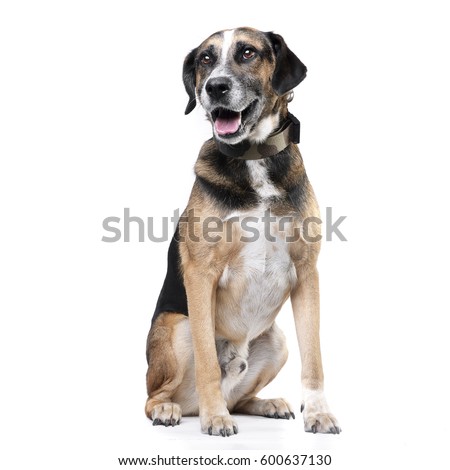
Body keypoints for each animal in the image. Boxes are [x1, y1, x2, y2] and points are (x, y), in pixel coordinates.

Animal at [146, 26, 340, 436]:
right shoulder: (201, 275)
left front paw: (318, 413)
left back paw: (267, 404)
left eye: (248, 52)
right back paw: (173, 409)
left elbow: (314, 358)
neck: (254, 157)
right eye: (206, 58)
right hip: (177, 325)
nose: (215, 87)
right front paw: (215, 418)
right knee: (156, 396)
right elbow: (206, 359)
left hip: (278, 341)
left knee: (240, 398)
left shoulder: (307, 273)